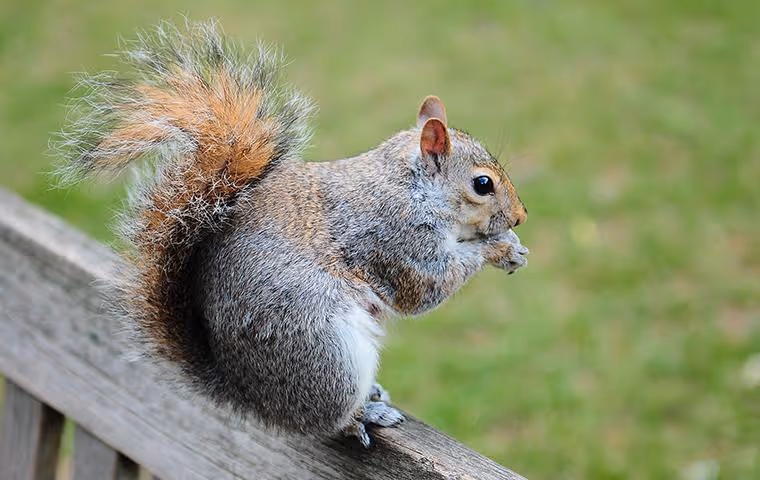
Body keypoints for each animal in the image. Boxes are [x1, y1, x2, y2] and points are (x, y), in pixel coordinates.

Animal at [54, 20, 529, 447]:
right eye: (482, 184)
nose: (522, 217)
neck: (411, 185)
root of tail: (252, 397)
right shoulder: (395, 238)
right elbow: (427, 287)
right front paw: (498, 249)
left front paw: (511, 247)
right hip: (325, 352)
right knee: (328, 418)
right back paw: (362, 414)